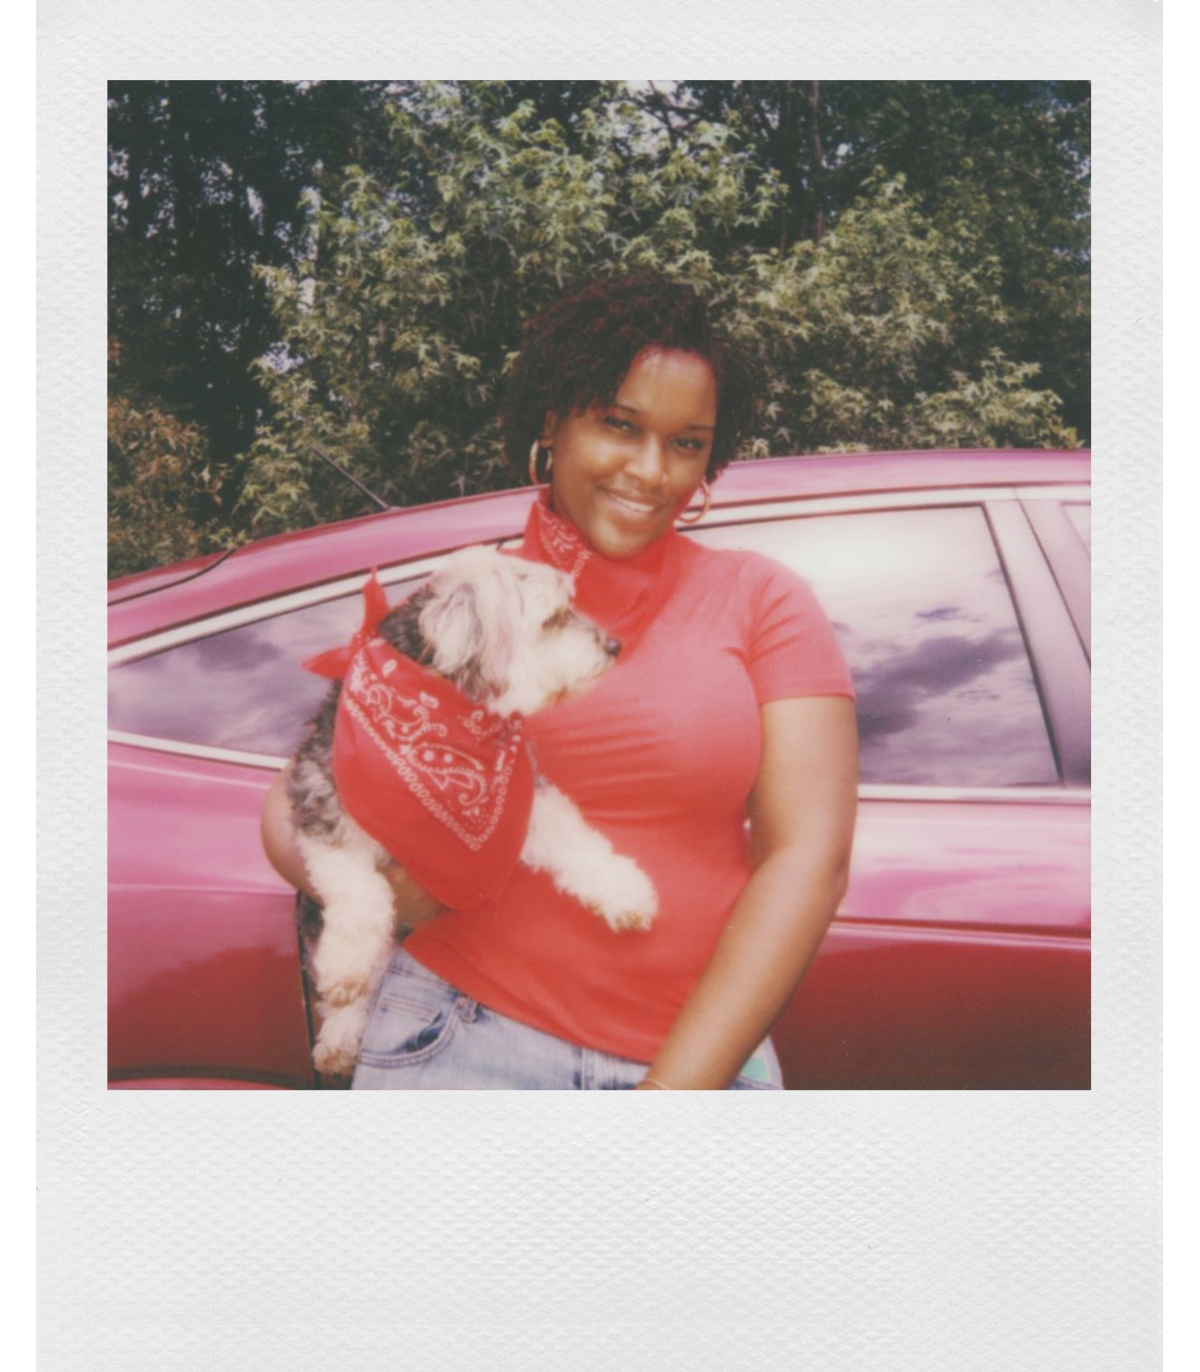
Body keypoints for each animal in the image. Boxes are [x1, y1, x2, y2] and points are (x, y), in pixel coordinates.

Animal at [288, 545, 658, 1076]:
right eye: (552, 618)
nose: (614, 644)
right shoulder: (319, 806)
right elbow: (361, 893)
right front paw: (344, 969)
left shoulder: (531, 802)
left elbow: (577, 842)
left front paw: (625, 890)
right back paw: (340, 1033)